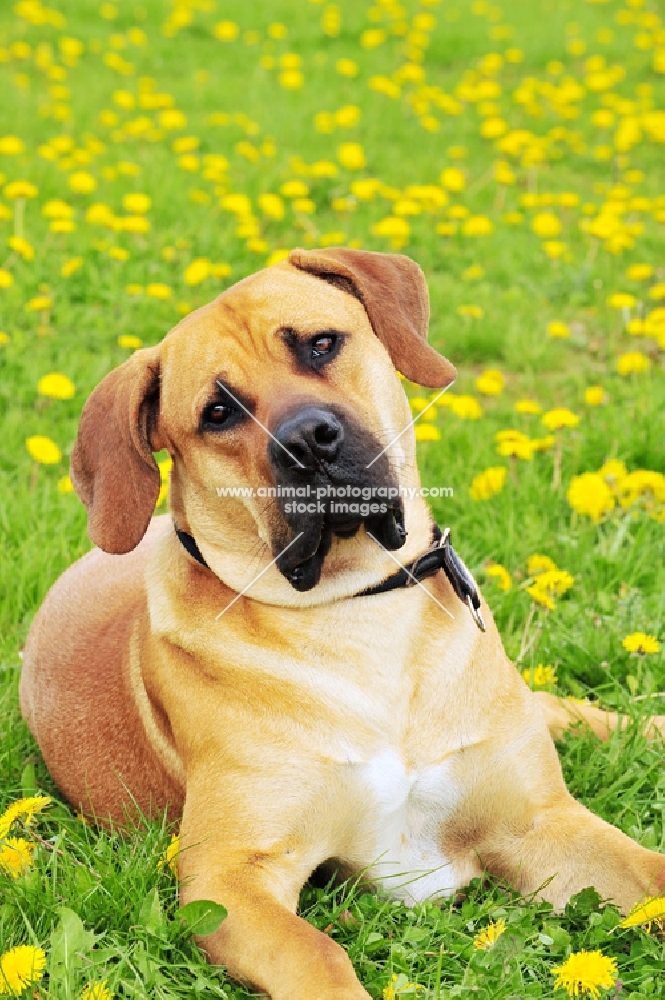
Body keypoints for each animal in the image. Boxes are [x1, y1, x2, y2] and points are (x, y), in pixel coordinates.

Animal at [20, 250, 664, 1000]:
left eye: (321, 344)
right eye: (218, 412)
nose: (308, 440)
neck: (356, 607)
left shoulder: (537, 823)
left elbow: (648, 869)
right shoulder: (229, 878)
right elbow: (318, 955)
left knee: (561, 708)